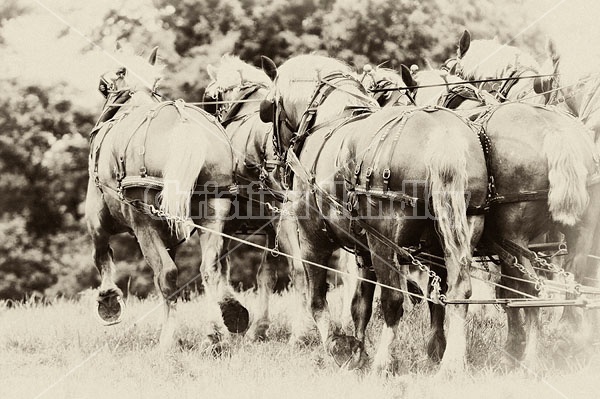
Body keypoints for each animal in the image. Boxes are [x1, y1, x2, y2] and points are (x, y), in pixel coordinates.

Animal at [370, 61, 600, 368]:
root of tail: (555, 131)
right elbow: (505, 291)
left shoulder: (437, 244)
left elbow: (440, 292)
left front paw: (438, 347)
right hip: (581, 231)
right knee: (575, 279)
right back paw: (572, 337)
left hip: (514, 236)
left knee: (533, 290)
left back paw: (530, 358)